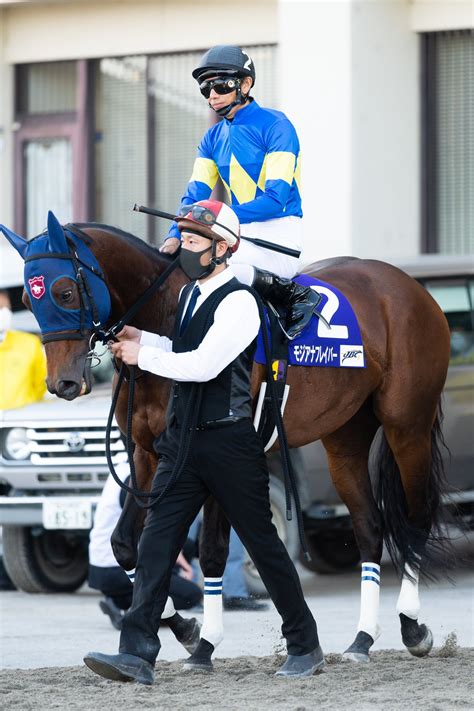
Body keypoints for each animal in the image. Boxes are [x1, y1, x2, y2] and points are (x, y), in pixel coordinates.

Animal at [0, 211, 452, 668]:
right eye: (29, 300)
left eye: (64, 291)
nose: (62, 384)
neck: (171, 315)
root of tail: (408, 286)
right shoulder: (146, 455)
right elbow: (127, 545)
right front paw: (184, 630)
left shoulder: (212, 453)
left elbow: (212, 551)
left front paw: (204, 643)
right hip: (345, 436)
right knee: (370, 528)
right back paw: (362, 639)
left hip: (407, 426)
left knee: (415, 518)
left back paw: (412, 627)